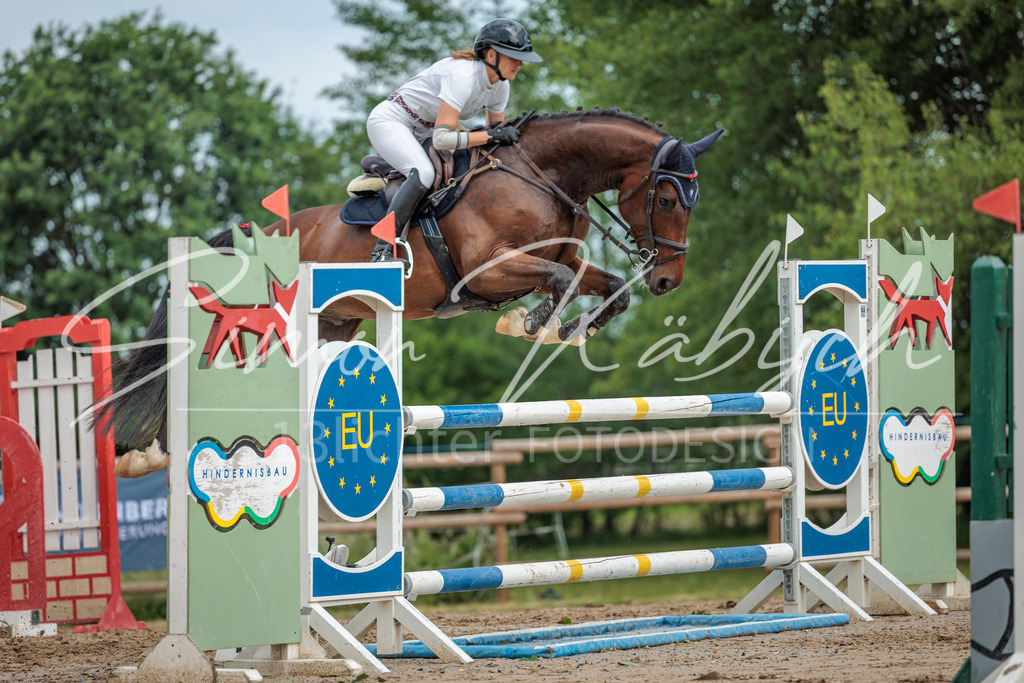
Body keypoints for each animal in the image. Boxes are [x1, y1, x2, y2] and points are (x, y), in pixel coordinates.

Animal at [100, 107, 723, 469]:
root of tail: (251, 236)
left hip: (335, 323)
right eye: (669, 198)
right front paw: (530, 321)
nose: (667, 279)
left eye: (695, 200)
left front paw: (565, 329)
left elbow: (608, 286)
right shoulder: (490, 269)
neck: (543, 174)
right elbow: (561, 282)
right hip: (269, 327)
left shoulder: (562, 257)